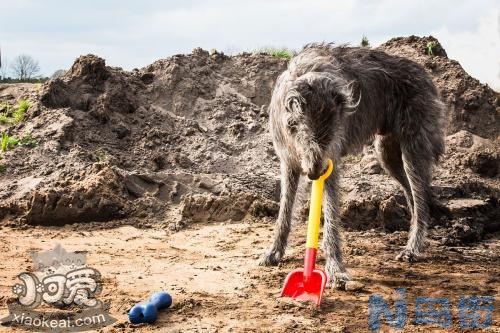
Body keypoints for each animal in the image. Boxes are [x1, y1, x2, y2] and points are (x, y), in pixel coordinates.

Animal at [260, 43, 444, 288]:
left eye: (332, 134)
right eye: (303, 130)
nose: (315, 173)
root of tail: (425, 74)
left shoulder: (331, 160)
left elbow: (330, 216)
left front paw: (336, 270)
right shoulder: (289, 161)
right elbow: (285, 211)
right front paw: (274, 252)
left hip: (413, 149)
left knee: (421, 196)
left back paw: (412, 248)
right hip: (387, 153)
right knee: (413, 195)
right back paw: (415, 238)